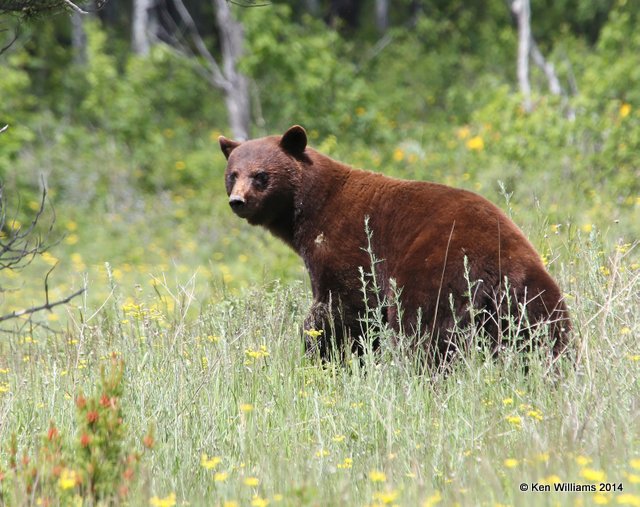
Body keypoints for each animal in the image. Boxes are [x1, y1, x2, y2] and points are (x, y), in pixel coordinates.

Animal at [218, 126, 572, 366]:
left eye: (261, 175)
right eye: (232, 173)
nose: (238, 201)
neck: (312, 208)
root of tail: (497, 265)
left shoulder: (347, 247)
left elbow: (343, 307)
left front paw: (323, 351)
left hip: (437, 278)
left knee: (424, 334)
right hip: (532, 294)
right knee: (552, 337)